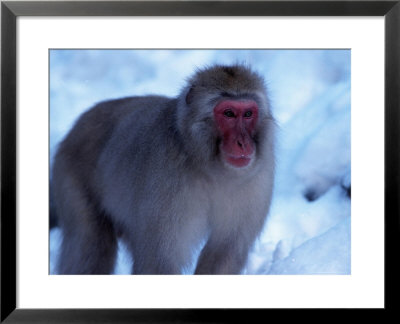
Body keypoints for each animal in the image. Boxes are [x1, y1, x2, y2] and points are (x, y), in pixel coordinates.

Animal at [52, 64, 276, 274]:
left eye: (248, 114)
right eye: (229, 114)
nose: (243, 143)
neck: (207, 167)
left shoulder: (256, 181)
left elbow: (224, 252)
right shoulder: (168, 183)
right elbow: (159, 262)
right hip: (71, 177)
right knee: (92, 245)